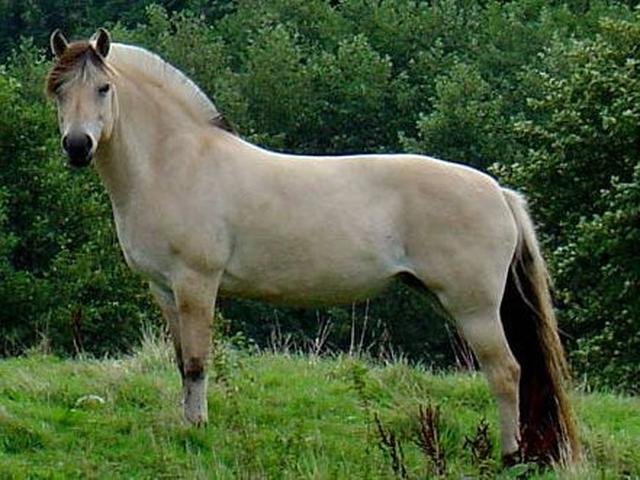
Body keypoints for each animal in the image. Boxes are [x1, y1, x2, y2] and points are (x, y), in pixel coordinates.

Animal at [46, 28, 579, 465]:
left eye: (104, 87)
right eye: (58, 91)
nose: (77, 146)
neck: (176, 164)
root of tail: (497, 191)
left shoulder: (196, 283)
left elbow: (197, 363)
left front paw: (197, 429)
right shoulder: (164, 289)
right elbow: (181, 363)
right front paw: (186, 424)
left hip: (474, 308)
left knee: (505, 371)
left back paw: (510, 456)